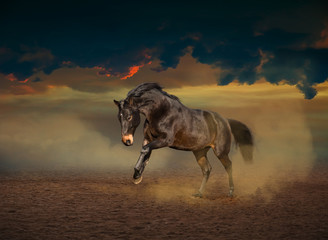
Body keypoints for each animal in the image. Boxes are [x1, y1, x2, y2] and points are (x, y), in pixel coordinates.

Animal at [113, 82, 254, 197]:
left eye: (129, 117)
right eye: (119, 118)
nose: (126, 141)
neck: (161, 112)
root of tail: (225, 120)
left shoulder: (165, 140)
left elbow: (145, 150)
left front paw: (137, 174)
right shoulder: (148, 138)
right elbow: (145, 154)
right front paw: (137, 177)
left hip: (220, 151)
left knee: (228, 166)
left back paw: (230, 192)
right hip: (200, 152)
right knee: (207, 169)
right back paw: (199, 193)